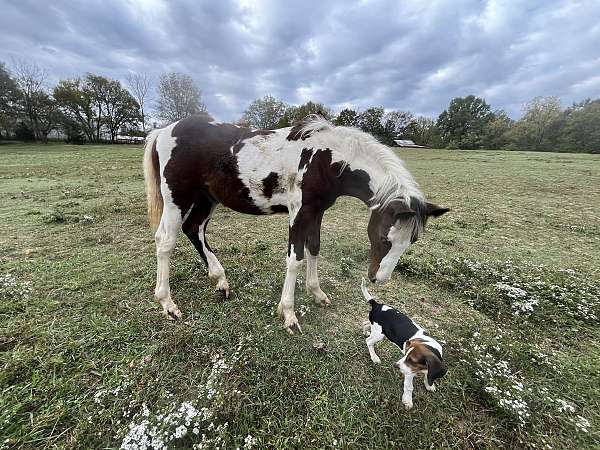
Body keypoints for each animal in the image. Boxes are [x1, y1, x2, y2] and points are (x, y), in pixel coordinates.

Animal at [144, 113, 446, 334]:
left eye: (411, 242)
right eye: (385, 238)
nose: (378, 279)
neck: (325, 159)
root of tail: (164, 130)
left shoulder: (316, 211)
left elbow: (314, 248)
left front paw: (316, 293)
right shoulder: (298, 212)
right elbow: (295, 258)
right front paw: (288, 313)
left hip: (207, 198)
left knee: (194, 229)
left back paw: (220, 280)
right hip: (177, 199)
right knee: (166, 241)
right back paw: (167, 303)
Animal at [360, 280, 446, 410]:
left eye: (412, 360)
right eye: (406, 356)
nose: (395, 366)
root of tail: (377, 305)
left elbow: (428, 376)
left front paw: (429, 385)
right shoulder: (409, 373)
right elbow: (409, 387)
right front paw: (407, 401)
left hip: (376, 328)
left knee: (365, 323)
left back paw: (365, 331)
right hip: (380, 335)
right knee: (369, 342)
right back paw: (374, 357)